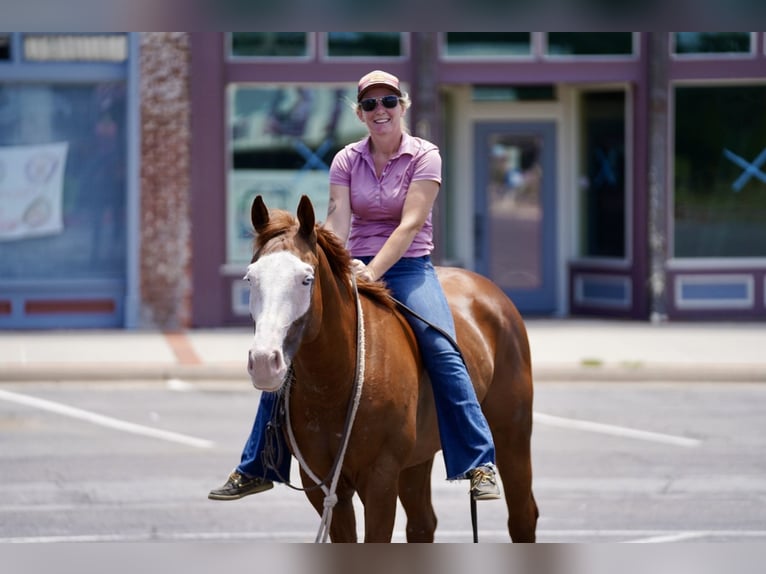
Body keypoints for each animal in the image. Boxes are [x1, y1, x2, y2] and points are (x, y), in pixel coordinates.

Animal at [246, 196, 540, 544]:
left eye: (306, 278)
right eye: (250, 278)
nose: (265, 362)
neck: (335, 382)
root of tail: (490, 292)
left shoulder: (380, 479)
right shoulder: (321, 485)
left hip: (513, 434)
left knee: (522, 516)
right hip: (418, 460)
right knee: (422, 524)